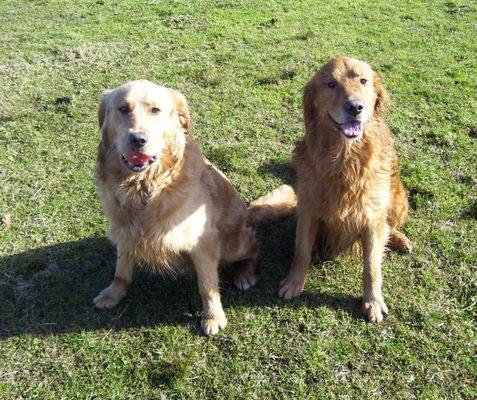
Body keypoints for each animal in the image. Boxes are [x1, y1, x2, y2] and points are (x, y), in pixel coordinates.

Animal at [93, 80, 294, 334]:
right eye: (123, 109)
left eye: (155, 110)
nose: (138, 139)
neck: (145, 188)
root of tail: (247, 211)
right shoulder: (124, 232)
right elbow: (121, 271)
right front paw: (113, 294)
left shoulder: (203, 243)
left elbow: (207, 286)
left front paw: (213, 317)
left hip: (234, 245)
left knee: (254, 248)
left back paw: (244, 274)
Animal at [278, 56, 410, 322]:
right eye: (331, 84)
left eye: (363, 80)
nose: (355, 107)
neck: (345, 159)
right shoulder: (308, 207)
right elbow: (301, 251)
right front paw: (294, 283)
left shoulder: (371, 217)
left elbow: (372, 265)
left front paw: (373, 301)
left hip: (398, 197)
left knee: (390, 226)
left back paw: (398, 238)